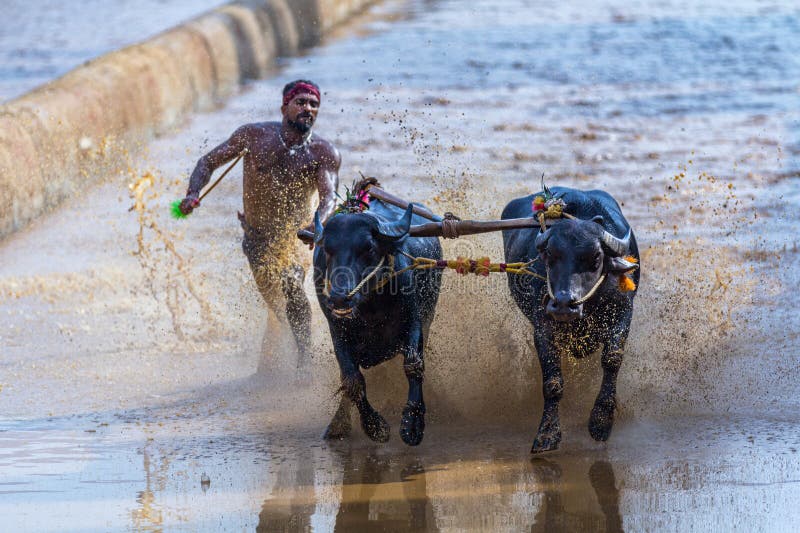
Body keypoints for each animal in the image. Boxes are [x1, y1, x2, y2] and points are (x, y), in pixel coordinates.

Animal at [310, 200, 440, 444]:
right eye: (328, 249)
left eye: (368, 247)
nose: (339, 298)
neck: (371, 308)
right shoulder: (338, 332)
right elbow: (352, 380)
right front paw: (374, 426)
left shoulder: (414, 321)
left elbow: (413, 364)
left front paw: (412, 423)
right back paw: (338, 425)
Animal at [504, 187, 640, 454]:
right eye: (549, 255)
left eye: (595, 257)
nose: (564, 304)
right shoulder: (543, 328)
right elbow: (552, 382)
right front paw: (547, 434)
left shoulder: (623, 313)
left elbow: (612, 359)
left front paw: (601, 421)